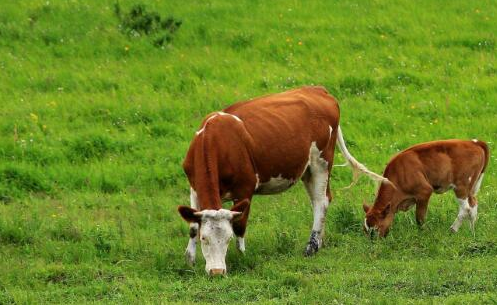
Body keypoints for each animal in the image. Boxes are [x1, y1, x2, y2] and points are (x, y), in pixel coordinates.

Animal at [176, 86, 386, 276]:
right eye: (204, 238)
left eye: (227, 239)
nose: (217, 272)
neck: (215, 141)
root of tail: (318, 89)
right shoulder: (194, 188)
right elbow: (192, 225)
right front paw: (190, 260)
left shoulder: (245, 189)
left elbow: (240, 225)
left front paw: (242, 256)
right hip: (307, 169)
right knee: (318, 199)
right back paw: (319, 241)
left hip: (322, 161)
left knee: (321, 201)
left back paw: (311, 247)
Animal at [360, 139, 488, 236]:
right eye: (365, 230)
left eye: (376, 229)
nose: (374, 244)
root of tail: (473, 142)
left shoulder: (424, 191)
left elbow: (419, 218)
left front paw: (423, 233)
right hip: (470, 188)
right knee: (473, 205)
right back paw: (471, 232)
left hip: (461, 186)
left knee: (466, 208)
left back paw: (453, 229)